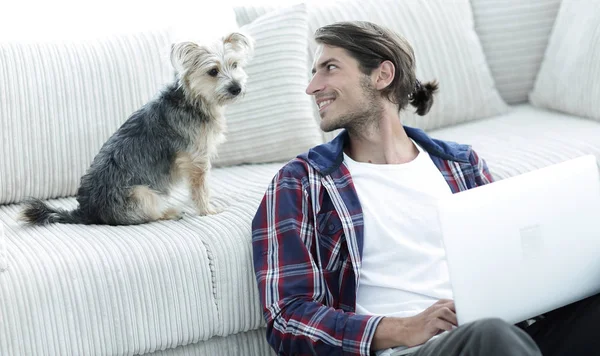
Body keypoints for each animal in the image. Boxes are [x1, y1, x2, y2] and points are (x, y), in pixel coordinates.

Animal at [19, 31, 254, 225]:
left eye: (235, 65)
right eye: (213, 71)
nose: (236, 88)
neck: (192, 100)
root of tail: (86, 212)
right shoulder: (197, 161)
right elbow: (201, 189)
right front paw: (208, 211)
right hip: (143, 194)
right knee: (148, 215)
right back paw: (171, 212)